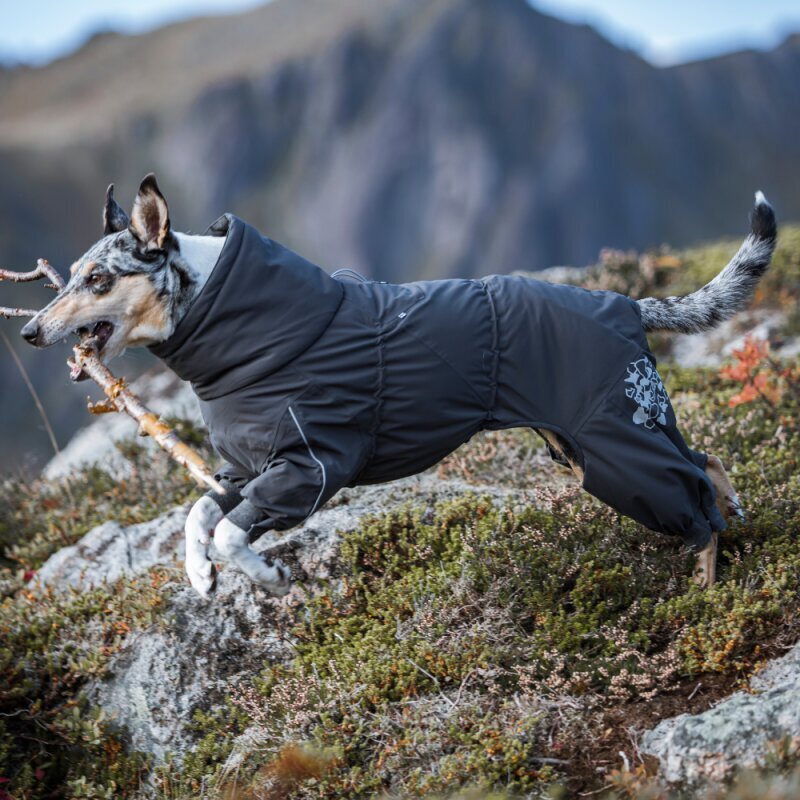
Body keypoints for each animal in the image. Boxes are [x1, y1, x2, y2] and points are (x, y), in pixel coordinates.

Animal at [23, 173, 776, 592]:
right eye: (73, 273)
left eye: (98, 279)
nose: (29, 330)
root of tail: (624, 302)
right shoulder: (243, 472)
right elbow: (198, 517)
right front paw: (199, 575)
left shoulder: (307, 468)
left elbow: (235, 536)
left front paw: (266, 578)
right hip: (589, 441)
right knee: (706, 459)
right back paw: (735, 518)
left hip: (615, 436)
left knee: (694, 493)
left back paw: (706, 586)